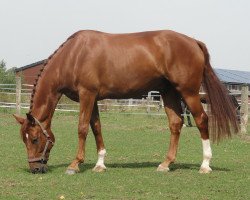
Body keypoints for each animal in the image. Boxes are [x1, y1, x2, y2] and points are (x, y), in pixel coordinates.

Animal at [13, 29, 238, 173]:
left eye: (35, 139)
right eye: (24, 139)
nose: (35, 168)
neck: (74, 56)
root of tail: (193, 42)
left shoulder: (87, 95)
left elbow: (82, 128)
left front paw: (75, 164)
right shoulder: (94, 98)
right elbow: (96, 127)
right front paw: (100, 164)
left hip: (188, 92)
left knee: (201, 120)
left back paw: (205, 165)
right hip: (169, 93)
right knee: (176, 123)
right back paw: (165, 164)